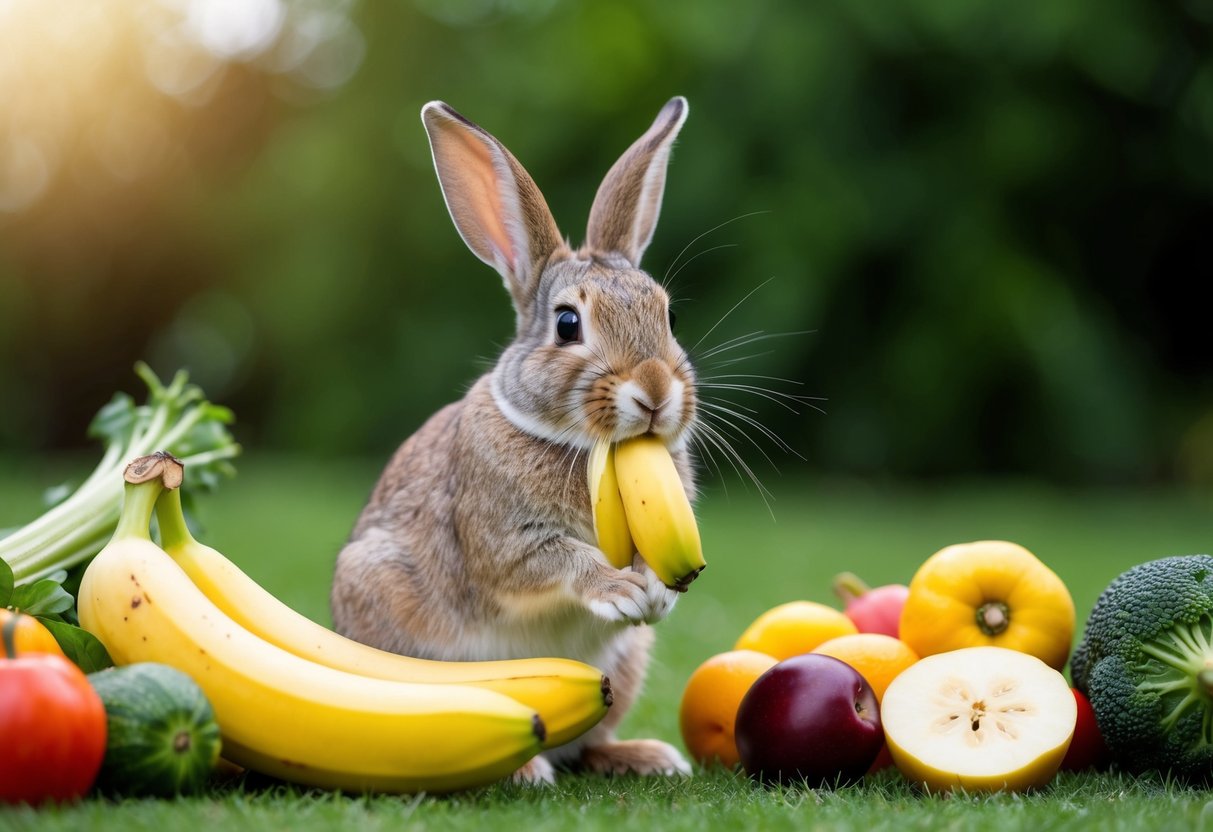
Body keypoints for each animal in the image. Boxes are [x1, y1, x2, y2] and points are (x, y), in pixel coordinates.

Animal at [331, 96, 697, 784]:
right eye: (567, 323)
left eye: (667, 314)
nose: (656, 390)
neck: (586, 448)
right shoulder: (504, 540)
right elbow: (550, 561)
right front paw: (620, 590)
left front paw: (656, 592)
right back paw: (524, 770)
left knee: (586, 745)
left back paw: (648, 758)